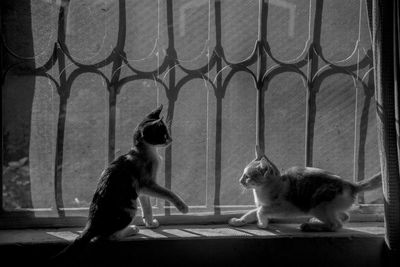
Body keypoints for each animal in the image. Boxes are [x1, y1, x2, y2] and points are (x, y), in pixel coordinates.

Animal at [52, 104, 188, 264]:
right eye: (164, 134)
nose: (171, 139)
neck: (144, 152)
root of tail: (91, 224)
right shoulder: (146, 184)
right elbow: (168, 192)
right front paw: (183, 207)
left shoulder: (141, 189)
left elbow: (147, 206)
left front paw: (149, 222)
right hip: (129, 209)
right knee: (109, 237)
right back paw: (132, 229)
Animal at [230, 147, 380, 232]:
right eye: (243, 175)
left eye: (247, 176)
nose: (239, 181)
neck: (261, 191)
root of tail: (350, 184)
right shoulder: (264, 204)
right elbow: (252, 212)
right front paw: (240, 220)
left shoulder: (285, 207)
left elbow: (260, 211)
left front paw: (262, 224)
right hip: (327, 207)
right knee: (344, 216)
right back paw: (315, 222)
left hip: (317, 205)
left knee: (336, 225)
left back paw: (311, 227)